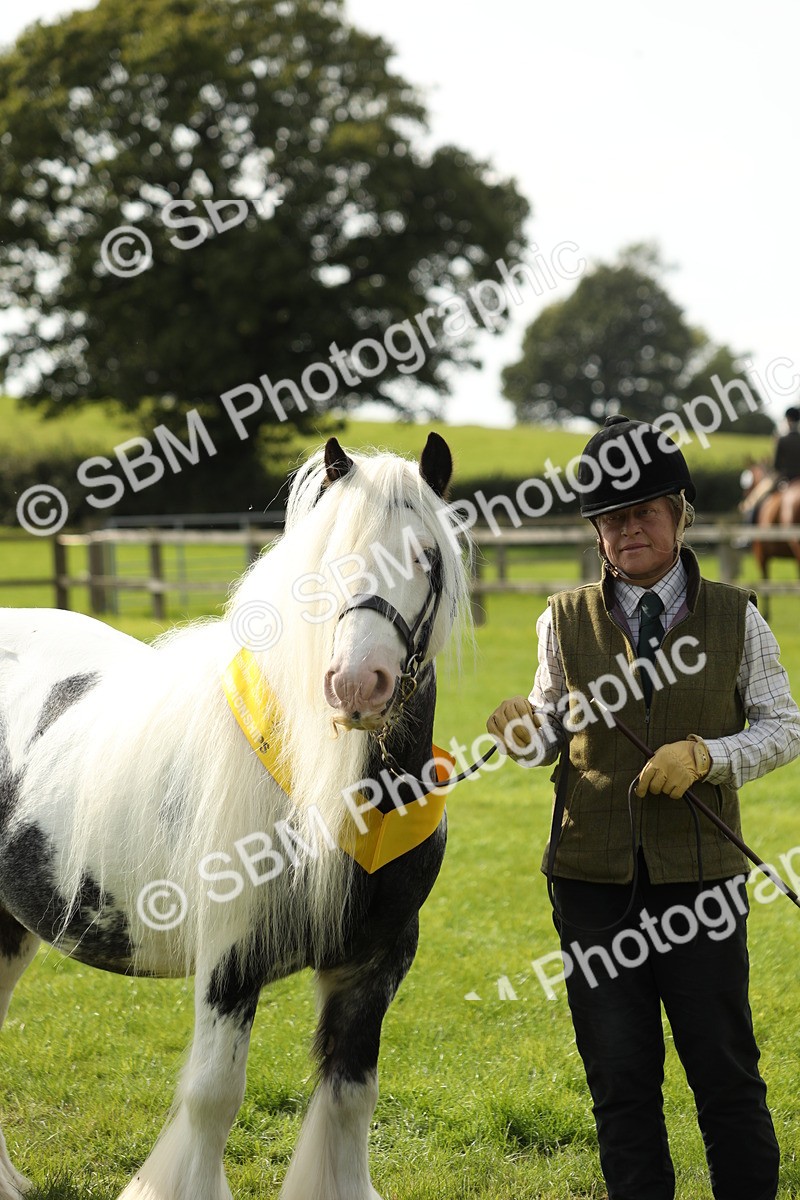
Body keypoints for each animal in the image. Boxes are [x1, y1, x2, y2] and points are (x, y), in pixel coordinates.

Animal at [0, 432, 471, 1200]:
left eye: (426, 557)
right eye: (323, 558)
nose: (357, 683)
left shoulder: (377, 961)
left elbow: (351, 1096)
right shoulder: (229, 962)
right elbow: (213, 1097)